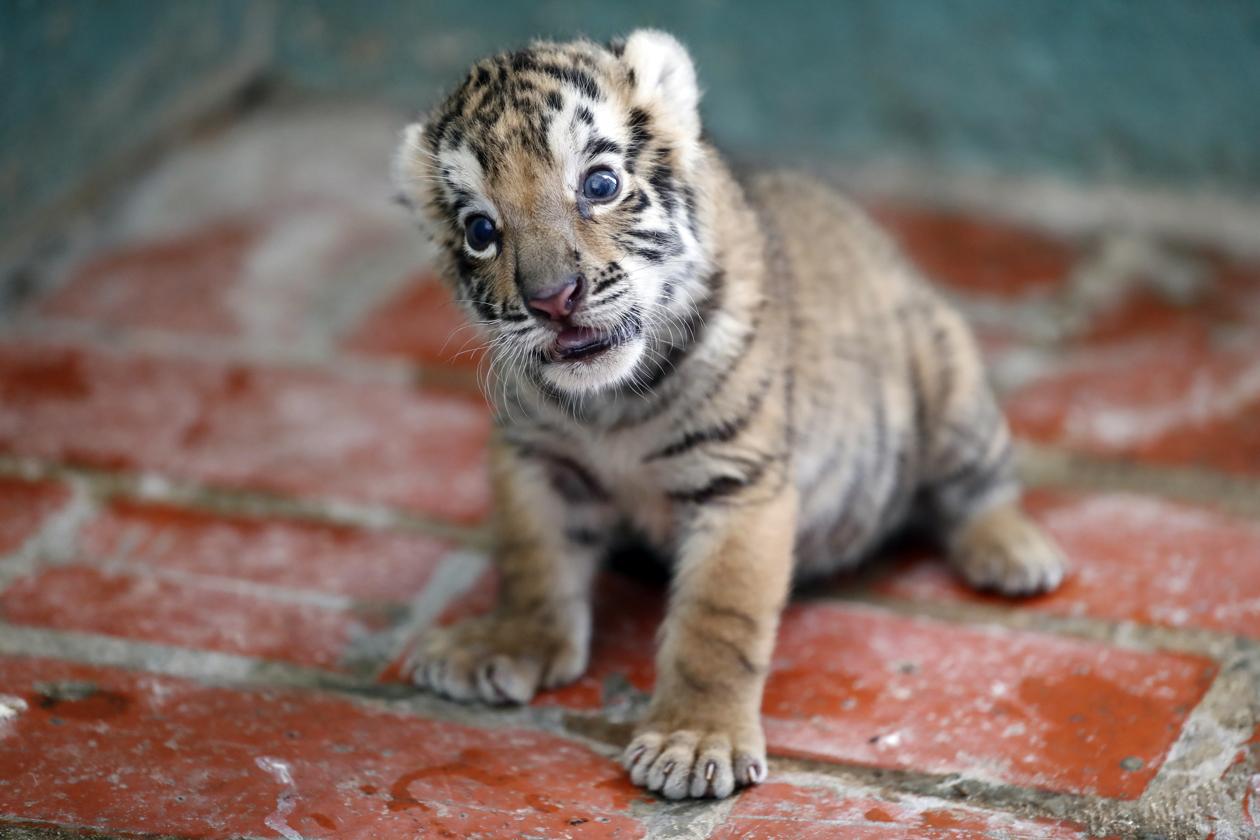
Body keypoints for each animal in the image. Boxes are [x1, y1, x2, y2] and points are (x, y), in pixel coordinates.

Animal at [392, 29, 1067, 800]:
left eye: (599, 185)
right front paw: (511, 640)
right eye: (480, 229)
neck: (612, 404)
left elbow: (717, 620)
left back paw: (1015, 554)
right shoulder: (536, 459)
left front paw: (691, 740)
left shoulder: (738, 482)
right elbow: (532, 557)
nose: (552, 298)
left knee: (978, 489)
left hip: (949, 383)